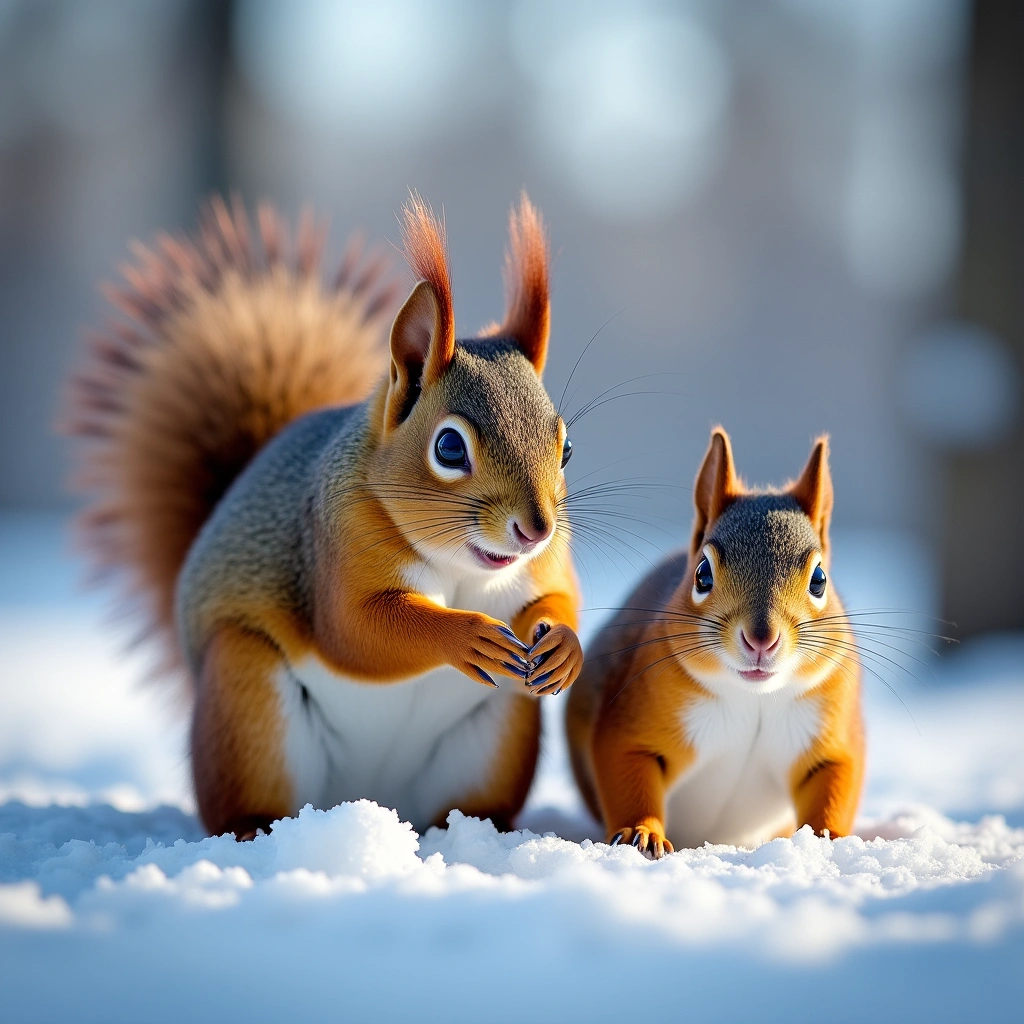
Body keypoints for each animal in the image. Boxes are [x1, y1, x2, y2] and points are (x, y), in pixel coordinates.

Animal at [68, 193, 583, 839]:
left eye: (566, 448)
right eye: (448, 448)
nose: (535, 529)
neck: (462, 569)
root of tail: (371, 798)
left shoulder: (546, 565)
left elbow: (562, 598)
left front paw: (564, 646)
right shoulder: (334, 545)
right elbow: (356, 630)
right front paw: (465, 635)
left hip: (496, 737)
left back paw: (480, 832)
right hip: (247, 698)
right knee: (242, 796)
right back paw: (255, 829)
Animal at [565, 427, 863, 858]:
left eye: (820, 579)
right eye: (702, 574)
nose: (761, 639)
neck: (754, 699)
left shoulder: (829, 735)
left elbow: (836, 783)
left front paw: (831, 838)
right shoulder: (631, 726)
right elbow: (627, 773)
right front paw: (643, 833)